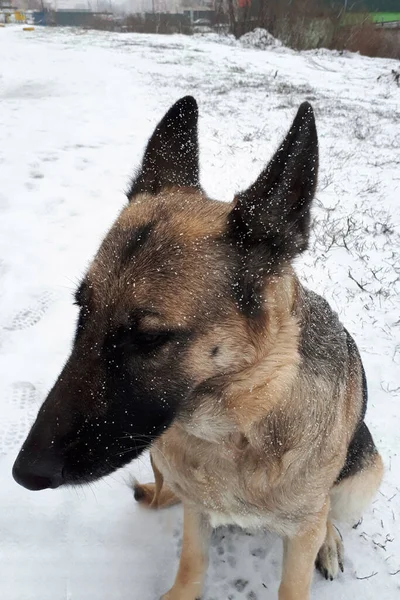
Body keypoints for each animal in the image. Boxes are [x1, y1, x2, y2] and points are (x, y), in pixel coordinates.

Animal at [12, 96, 382, 596]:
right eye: (82, 310)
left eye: (148, 337)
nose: (23, 473)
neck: (234, 433)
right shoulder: (195, 513)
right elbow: (191, 563)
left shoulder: (302, 529)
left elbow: (297, 570)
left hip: (361, 481)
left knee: (328, 517)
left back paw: (330, 542)